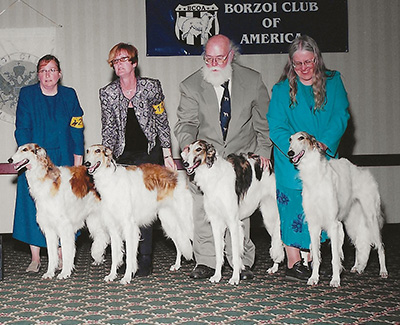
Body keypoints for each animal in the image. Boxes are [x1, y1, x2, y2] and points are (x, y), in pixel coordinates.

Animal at [9, 144, 100, 278]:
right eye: (18, 149)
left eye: (24, 149)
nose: (9, 160)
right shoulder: (49, 227)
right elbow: (52, 254)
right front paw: (49, 273)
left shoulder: (65, 227)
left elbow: (67, 252)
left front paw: (65, 272)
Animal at [84, 144, 194, 284]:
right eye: (87, 151)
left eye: (98, 151)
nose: (86, 163)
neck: (110, 179)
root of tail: (177, 177)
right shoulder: (113, 228)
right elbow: (114, 255)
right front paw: (112, 275)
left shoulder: (129, 226)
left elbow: (129, 256)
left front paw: (126, 277)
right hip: (169, 222)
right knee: (179, 243)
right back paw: (177, 265)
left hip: (185, 220)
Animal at [180, 139, 282, 284]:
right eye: (188, 149)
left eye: (199, 149)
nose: (185, 164)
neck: (214, 176)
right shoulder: (216, 223)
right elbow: (218, 254)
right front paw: (217, 276)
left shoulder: (233, 222)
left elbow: (234, 252)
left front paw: (235, 278)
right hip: (269, 218)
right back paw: (274, 267)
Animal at [288, 132, 388, 286]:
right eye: (290, 140)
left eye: (301, 138)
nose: (290, 153)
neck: (315, 176)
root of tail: (363, 170)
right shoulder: (314, 225)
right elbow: (316, 257)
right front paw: (314, 278)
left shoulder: (333, 224)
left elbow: (335, 257)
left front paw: (335, 280)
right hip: (351, 222)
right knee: (360, 245)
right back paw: (357, 267)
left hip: (371, 218)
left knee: (380, 247)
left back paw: (383, 271)